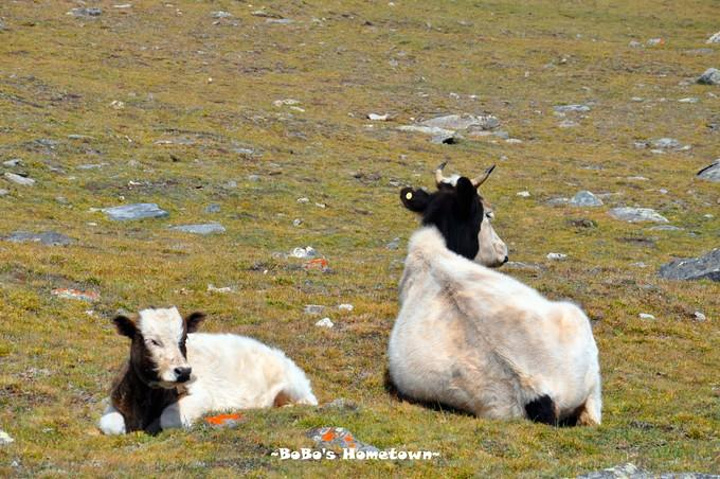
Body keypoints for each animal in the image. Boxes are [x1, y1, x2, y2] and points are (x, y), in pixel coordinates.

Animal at [98, 310, 318, 436]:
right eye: (153, 341)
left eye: (184, 338)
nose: (184, 372)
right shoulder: (115, 402)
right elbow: (111, 426)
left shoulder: (201, 396)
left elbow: (168, 419)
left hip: (292, 388)